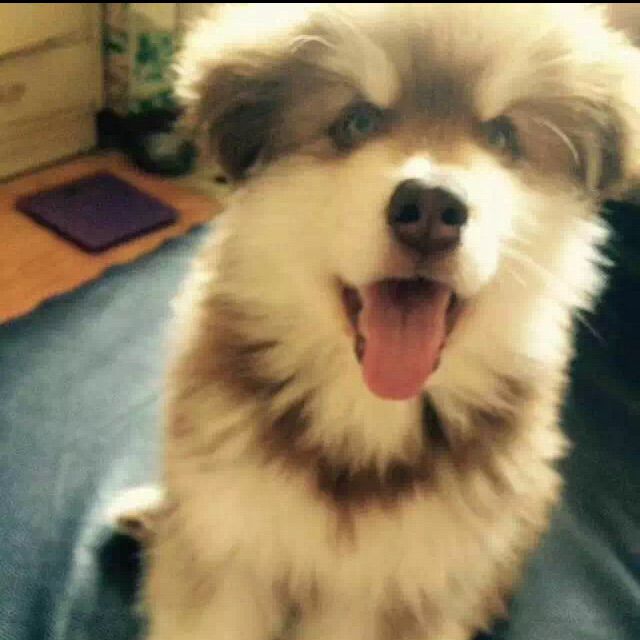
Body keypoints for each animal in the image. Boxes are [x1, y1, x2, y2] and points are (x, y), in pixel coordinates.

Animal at [113, 4, 640, 639]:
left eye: (503, 136)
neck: (364, 417)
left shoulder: (395, 594)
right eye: (357, 122)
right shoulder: (229, 552)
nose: (431, 209)